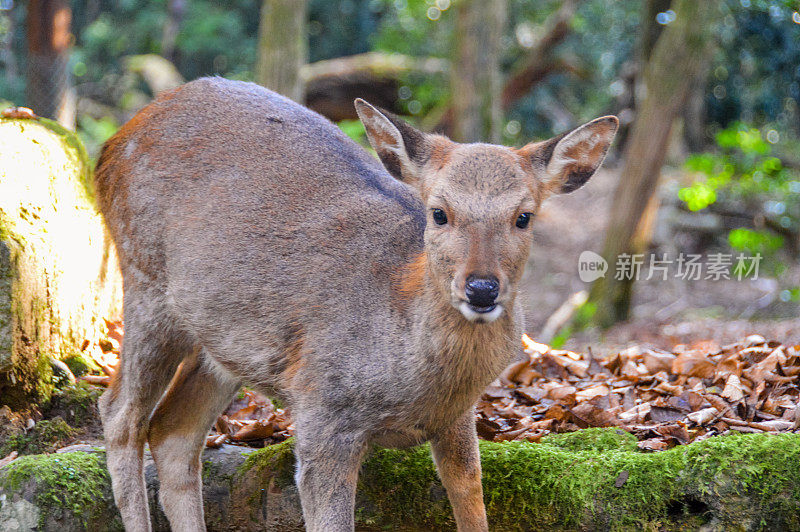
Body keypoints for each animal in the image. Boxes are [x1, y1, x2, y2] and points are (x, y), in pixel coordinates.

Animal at [95, 76, 620, 532]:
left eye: (524, 217)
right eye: (439, 213)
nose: (482, 289)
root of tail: (110, 145)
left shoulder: (455, 418)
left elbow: (473, 504)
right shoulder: (322, 411)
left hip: (222, 339)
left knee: (173, 433)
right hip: (145, 281)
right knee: (120, 414)